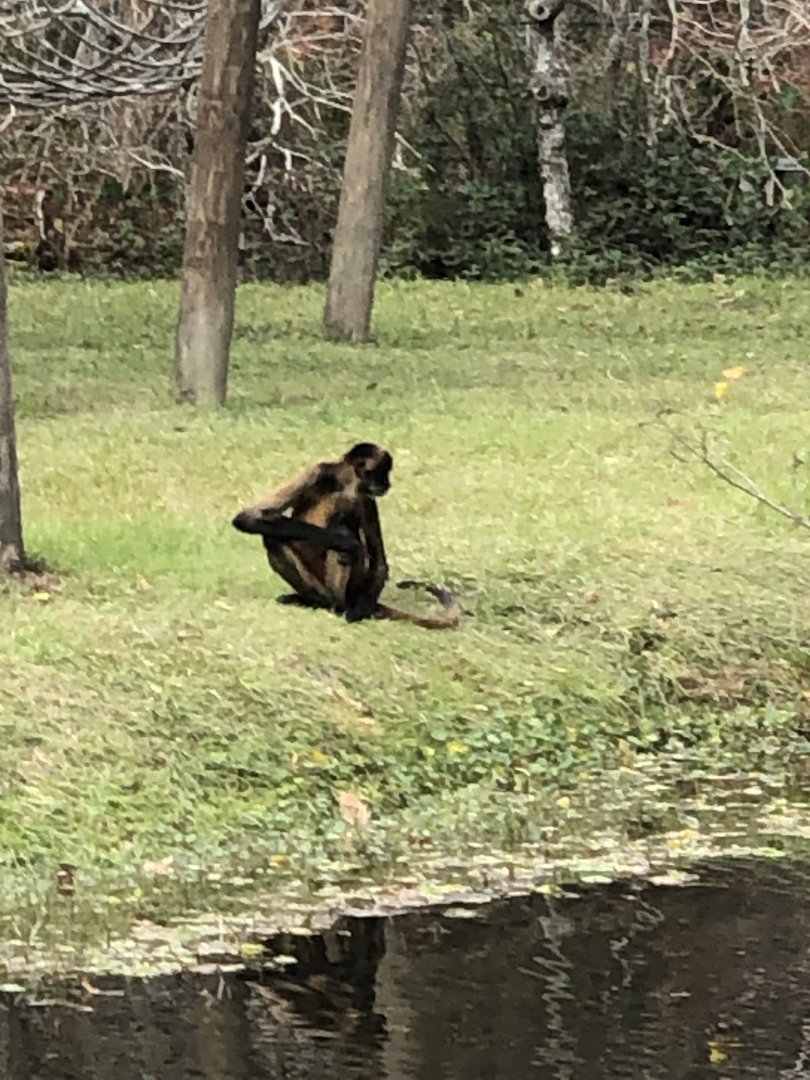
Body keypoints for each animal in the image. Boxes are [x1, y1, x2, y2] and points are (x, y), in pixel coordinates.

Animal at [232, 442, 460, 630]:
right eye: (381, 473)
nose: (387, 484)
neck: (346, 485)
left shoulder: (366, 498)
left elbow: (379, 563)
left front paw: (358, 614)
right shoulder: (318, 470)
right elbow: (250, 517)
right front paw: (348, 543)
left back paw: (340, 606)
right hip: (316, 583)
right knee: (272, 537)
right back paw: (314, 601)